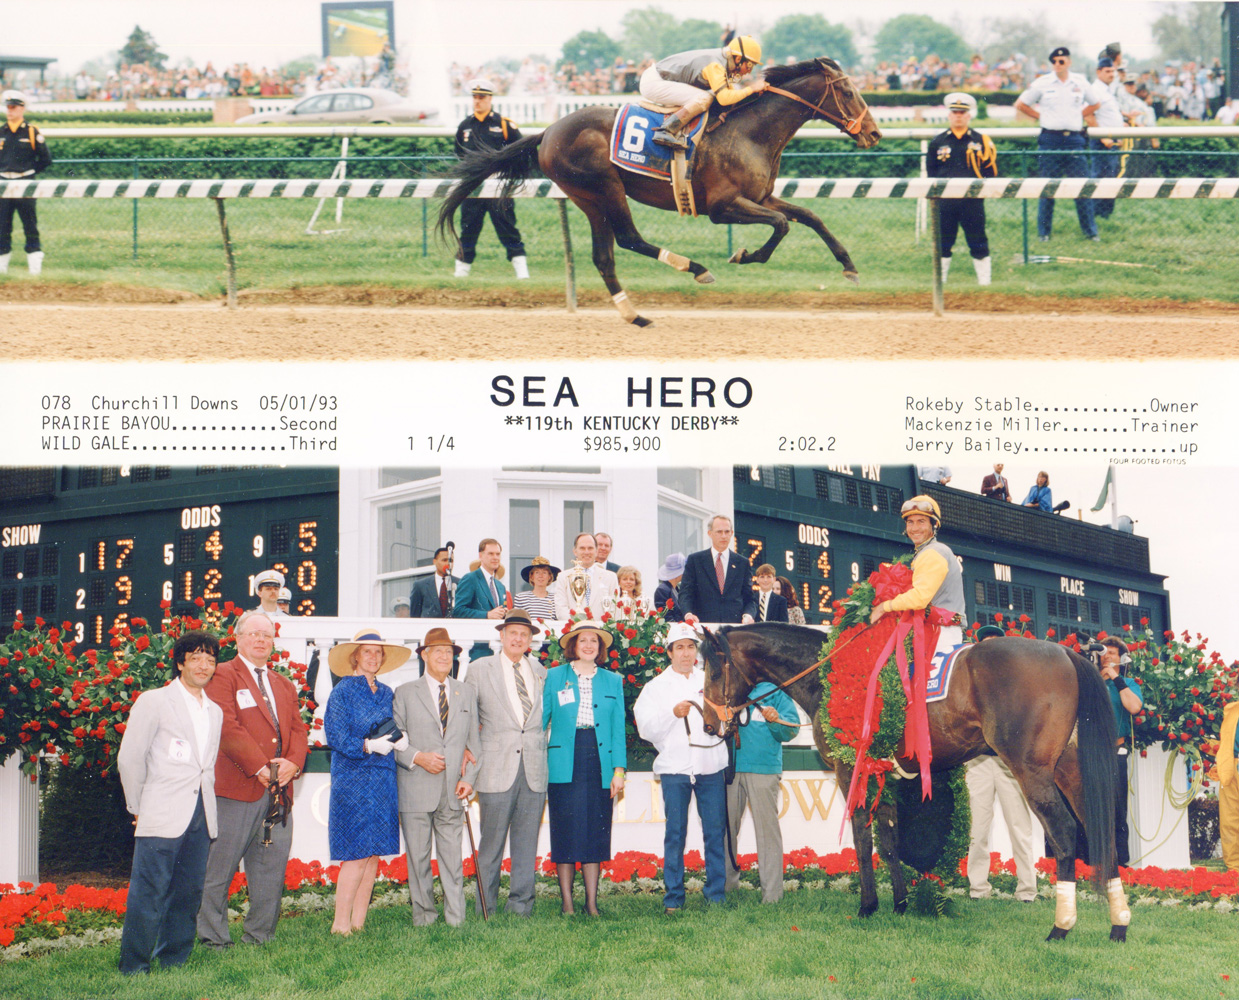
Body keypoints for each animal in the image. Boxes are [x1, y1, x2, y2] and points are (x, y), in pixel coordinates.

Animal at [436, 57, 882, 329]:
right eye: (847, 92)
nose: (874, 133)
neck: (750, 132)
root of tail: (548, 132)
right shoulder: (722, 207)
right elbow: (780, 226)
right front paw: (744, 255)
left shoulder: (761, 196)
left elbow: (809, 217)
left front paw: (849, 266)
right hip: (604, 187)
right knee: (629, 239)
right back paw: (695, 268)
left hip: (588, 198)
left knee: (605, 256)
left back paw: (635, 315)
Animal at [698, 624, 1134, 946]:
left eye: (714, 670)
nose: (709, 724)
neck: (834, 676)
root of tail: (1065, 652)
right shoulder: (885, 778)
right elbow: (889, 842)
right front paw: (901, 903)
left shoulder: (850, 773)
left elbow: (862, 840)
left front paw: (868, 906)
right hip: (1071, 772)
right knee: (1102, 832)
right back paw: (1119, 923)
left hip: (1034, 772)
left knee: (1065, 833)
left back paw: (1061, 926)